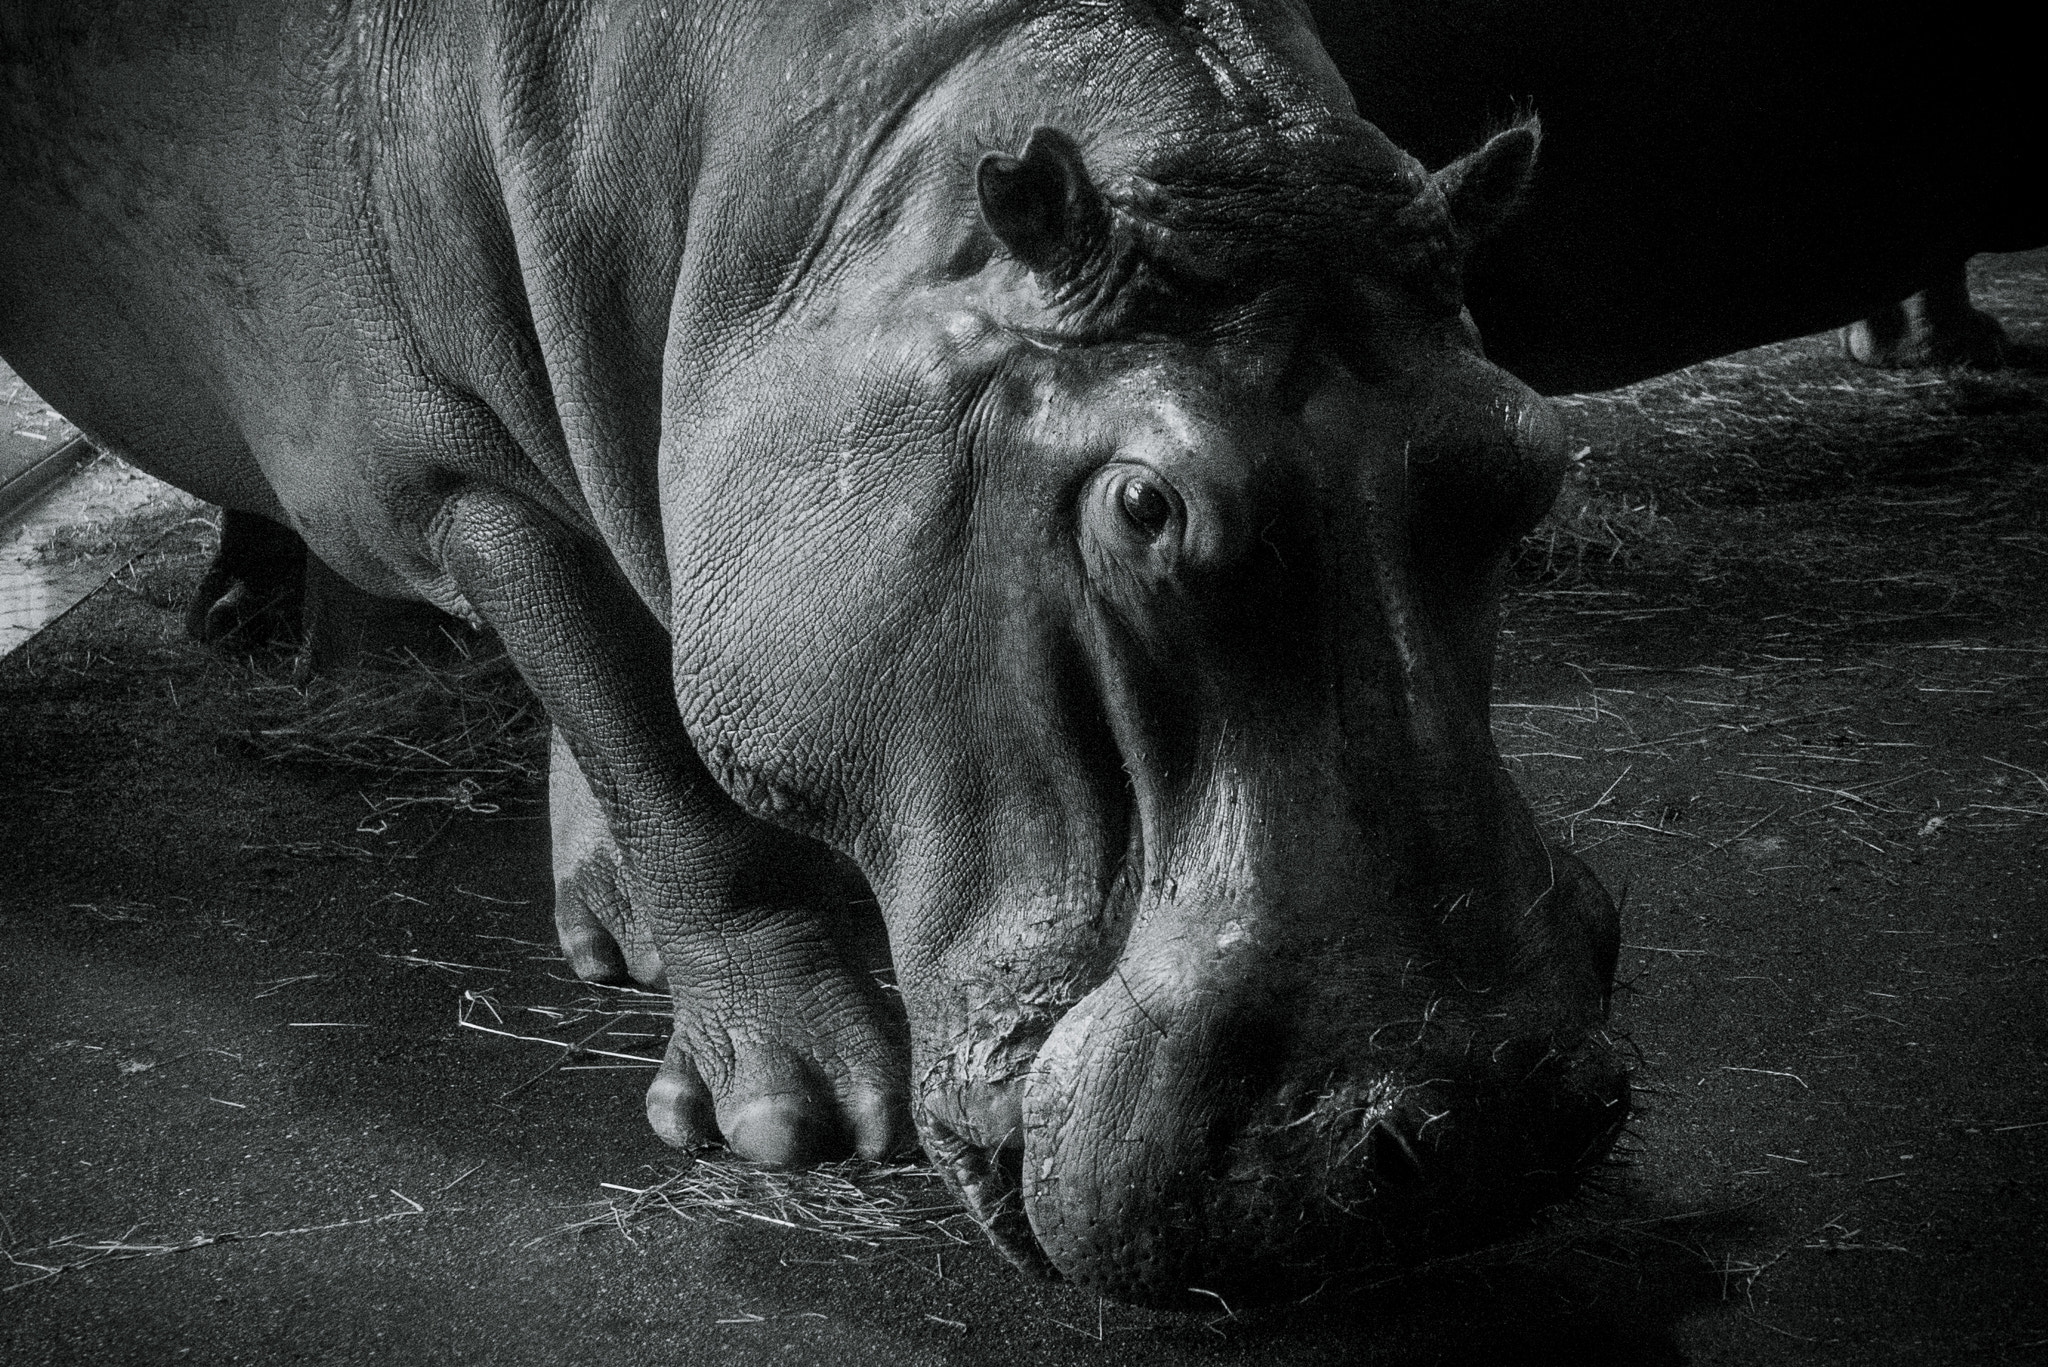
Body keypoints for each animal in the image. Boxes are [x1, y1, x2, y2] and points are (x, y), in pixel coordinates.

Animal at [0, 0, 1627, 1304]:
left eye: (1526, 454)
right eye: (1145, 504)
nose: (1475, 1131)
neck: (841, 205)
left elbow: (634, 712)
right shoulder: (471, 474)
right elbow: (647, 742)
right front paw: (802, 1120)